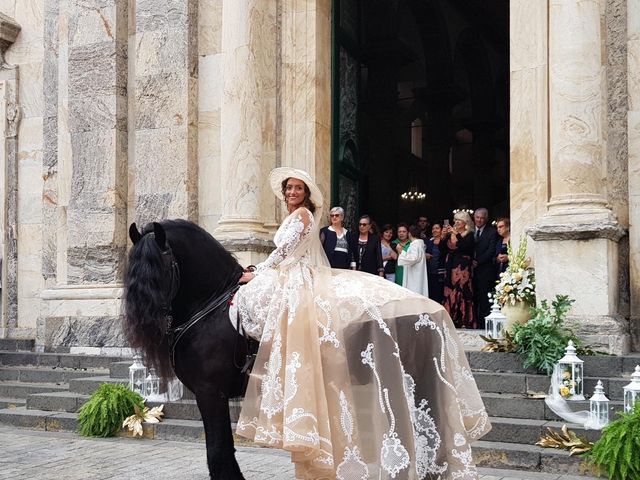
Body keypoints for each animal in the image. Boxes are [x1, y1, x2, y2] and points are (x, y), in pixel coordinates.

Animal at [124, 219, 256, 478]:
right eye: (132, 267)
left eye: (161, 268)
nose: (144, 321)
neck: (211, 309)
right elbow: (224, 450)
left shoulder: (210, 393)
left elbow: (217, 452)